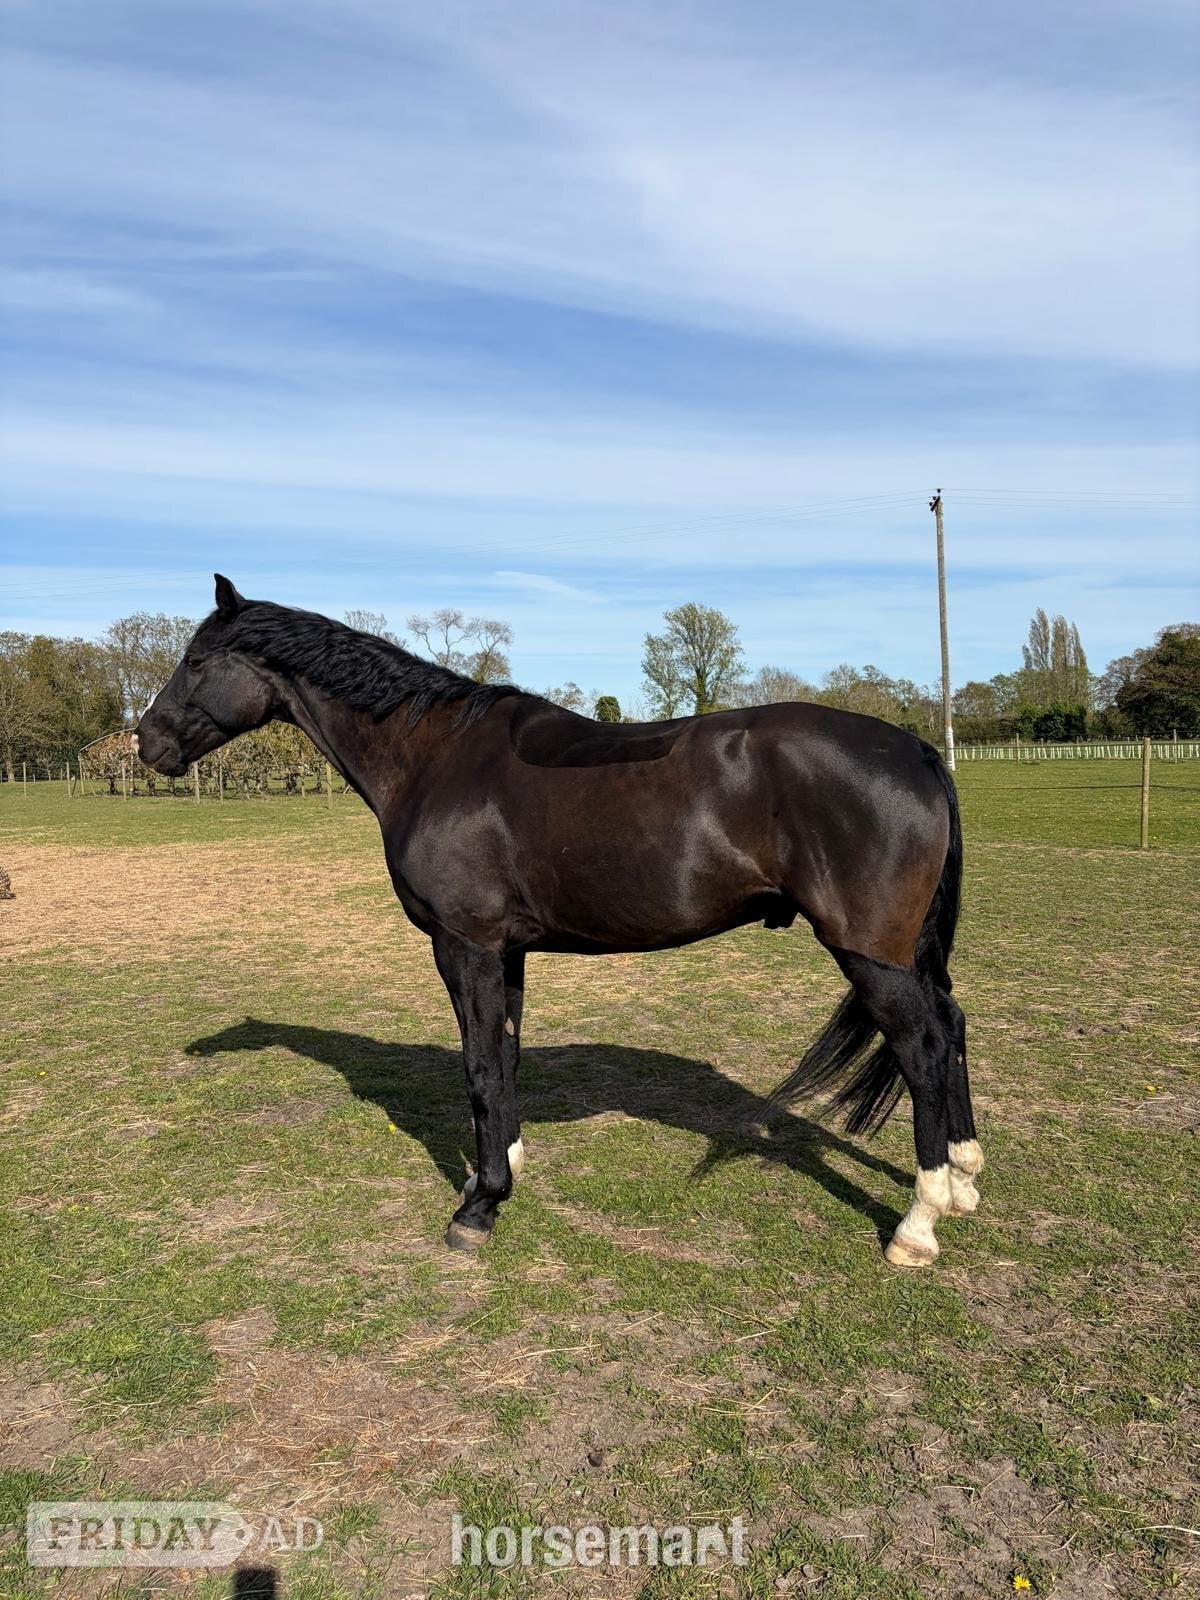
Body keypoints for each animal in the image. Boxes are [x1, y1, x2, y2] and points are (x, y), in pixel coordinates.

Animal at [135, 575, 983, 1267]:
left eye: (198, 661)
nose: (147, 742)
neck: (433, 756)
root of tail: (913, 749)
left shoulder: (465, 946)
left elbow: (479, 1066)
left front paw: (479, 1206)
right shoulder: (506, 953)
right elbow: (506, 1057)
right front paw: (502, 1165)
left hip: (869, 953)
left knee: (922, 1046)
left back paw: (918, 1223)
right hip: (905, 953)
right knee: (951, 1023)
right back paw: (966, 1179)